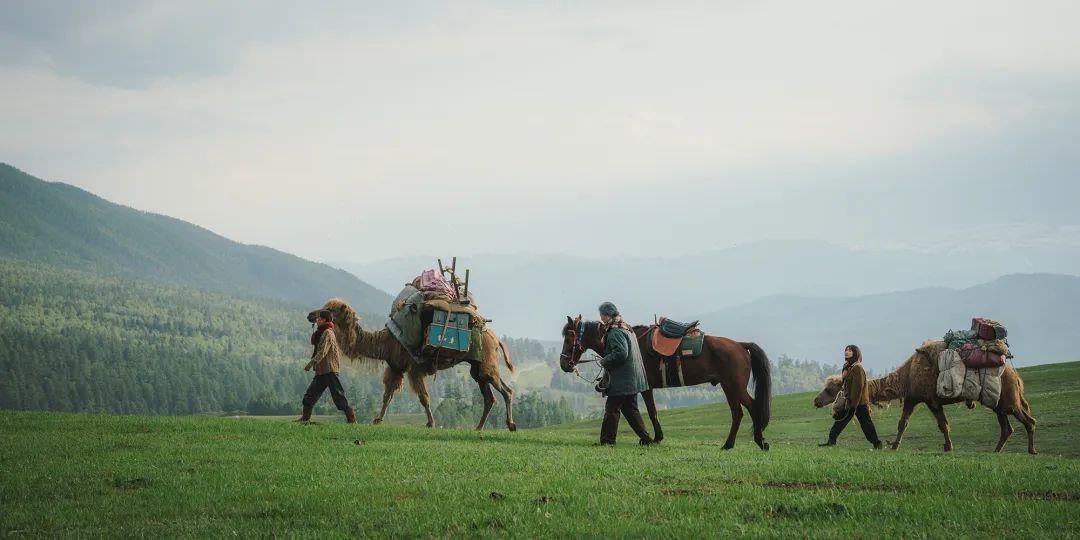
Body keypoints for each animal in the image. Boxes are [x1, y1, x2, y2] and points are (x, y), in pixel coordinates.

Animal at [308, 300, 518, 429]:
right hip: (477, 368)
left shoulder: (414, 368)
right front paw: (377, 419)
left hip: (487, 364)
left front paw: (431, 423)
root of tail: (496, 338)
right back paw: (479, 427)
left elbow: (424, 397)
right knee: (489, 397)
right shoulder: (396, 367)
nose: (311, 315)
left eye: (330, 309)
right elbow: (387, 395)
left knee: (506, 390)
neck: (387, 342)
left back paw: (511, 425)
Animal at [561, 315, 773, 449]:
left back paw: (749, 442)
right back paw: (739, 443)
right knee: (743, 412)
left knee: (746, 410)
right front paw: (652, 438)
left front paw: (656, 438)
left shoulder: (646, 388)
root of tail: (741, 345)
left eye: (569, 337)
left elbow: (652, 412)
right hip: (731, 387)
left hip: (733, 387)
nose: (564, 364)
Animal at [812, 341, 1036, 455]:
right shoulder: (912, 398)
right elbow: (903, 423)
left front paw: (948, 446)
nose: (816, 401)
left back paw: (1031, 450)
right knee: (1007, 426)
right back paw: (997, 450)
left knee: (1028, 421)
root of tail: (1017, 378)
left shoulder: (931, 400)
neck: (906, 377)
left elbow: (942, 424)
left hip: (1009, 400)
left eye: (830, 389)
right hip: (999, 404)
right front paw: (894, 445)